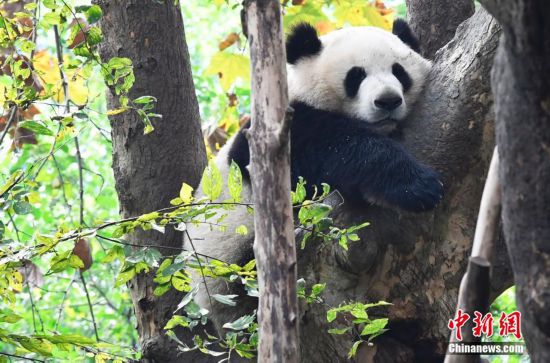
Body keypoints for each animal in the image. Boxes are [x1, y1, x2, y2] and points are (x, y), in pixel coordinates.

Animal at [185, 19, 444, 332]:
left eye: (399, 71)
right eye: (355, 76)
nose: (388, 101)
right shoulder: (280, 134)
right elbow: (333, 147)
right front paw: (417, 186)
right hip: (233, 267)